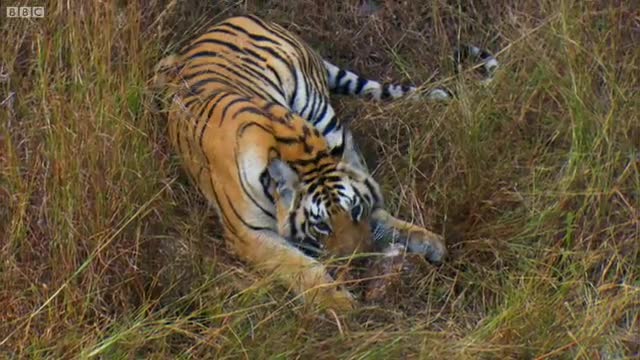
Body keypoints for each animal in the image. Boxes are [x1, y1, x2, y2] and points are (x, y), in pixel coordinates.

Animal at [152, 13, 498, 306]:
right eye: (320, 225)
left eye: (354, 210)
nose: (360, 262)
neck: (289, 146)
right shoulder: (248, 235)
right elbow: (299, 266)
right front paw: (339, 305)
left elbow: (378, 215)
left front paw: (428, 241)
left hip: (317, 107)